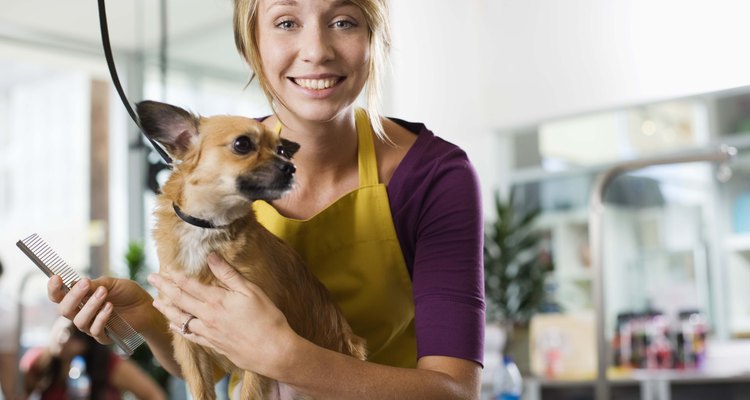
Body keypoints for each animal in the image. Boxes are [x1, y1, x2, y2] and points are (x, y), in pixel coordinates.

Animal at [137, 101, 370, 398]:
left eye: (281, 150)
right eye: (242, 144)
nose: (291, 167)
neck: (208, 227)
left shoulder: (254, 351)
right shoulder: (187, 343)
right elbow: (201, 390)